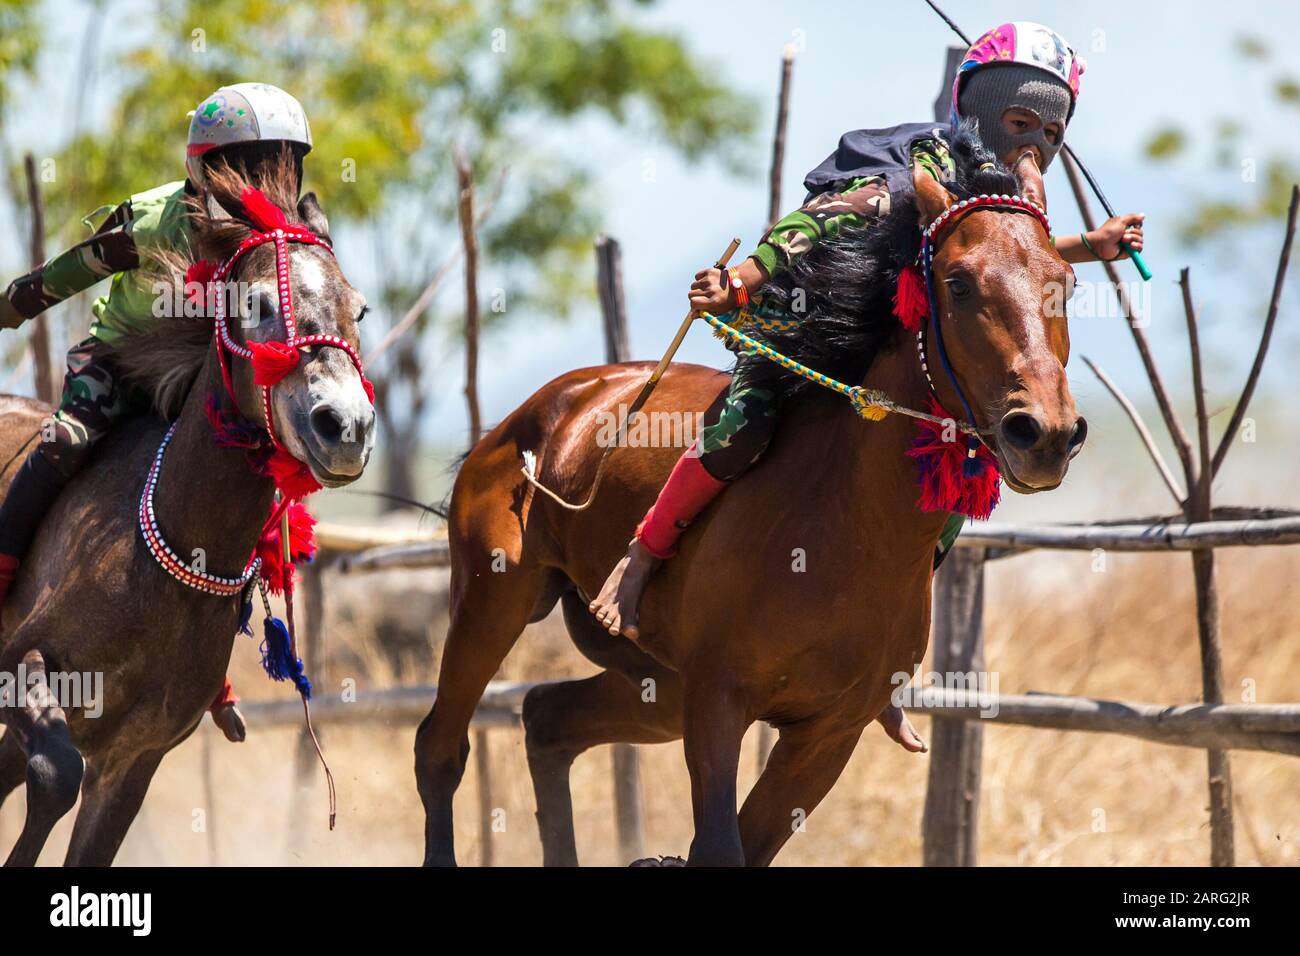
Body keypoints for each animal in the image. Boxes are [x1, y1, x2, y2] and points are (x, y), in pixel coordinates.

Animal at [418, 147, 1086, 868]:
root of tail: (541, 412)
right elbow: (718, 843)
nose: (1045, 432)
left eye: (1066, 282)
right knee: (440, 748)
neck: (847, 527)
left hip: (653, 681)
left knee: (547, 719)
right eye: (959, 284)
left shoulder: (830, 733)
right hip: (493, 598)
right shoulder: (717, 701)